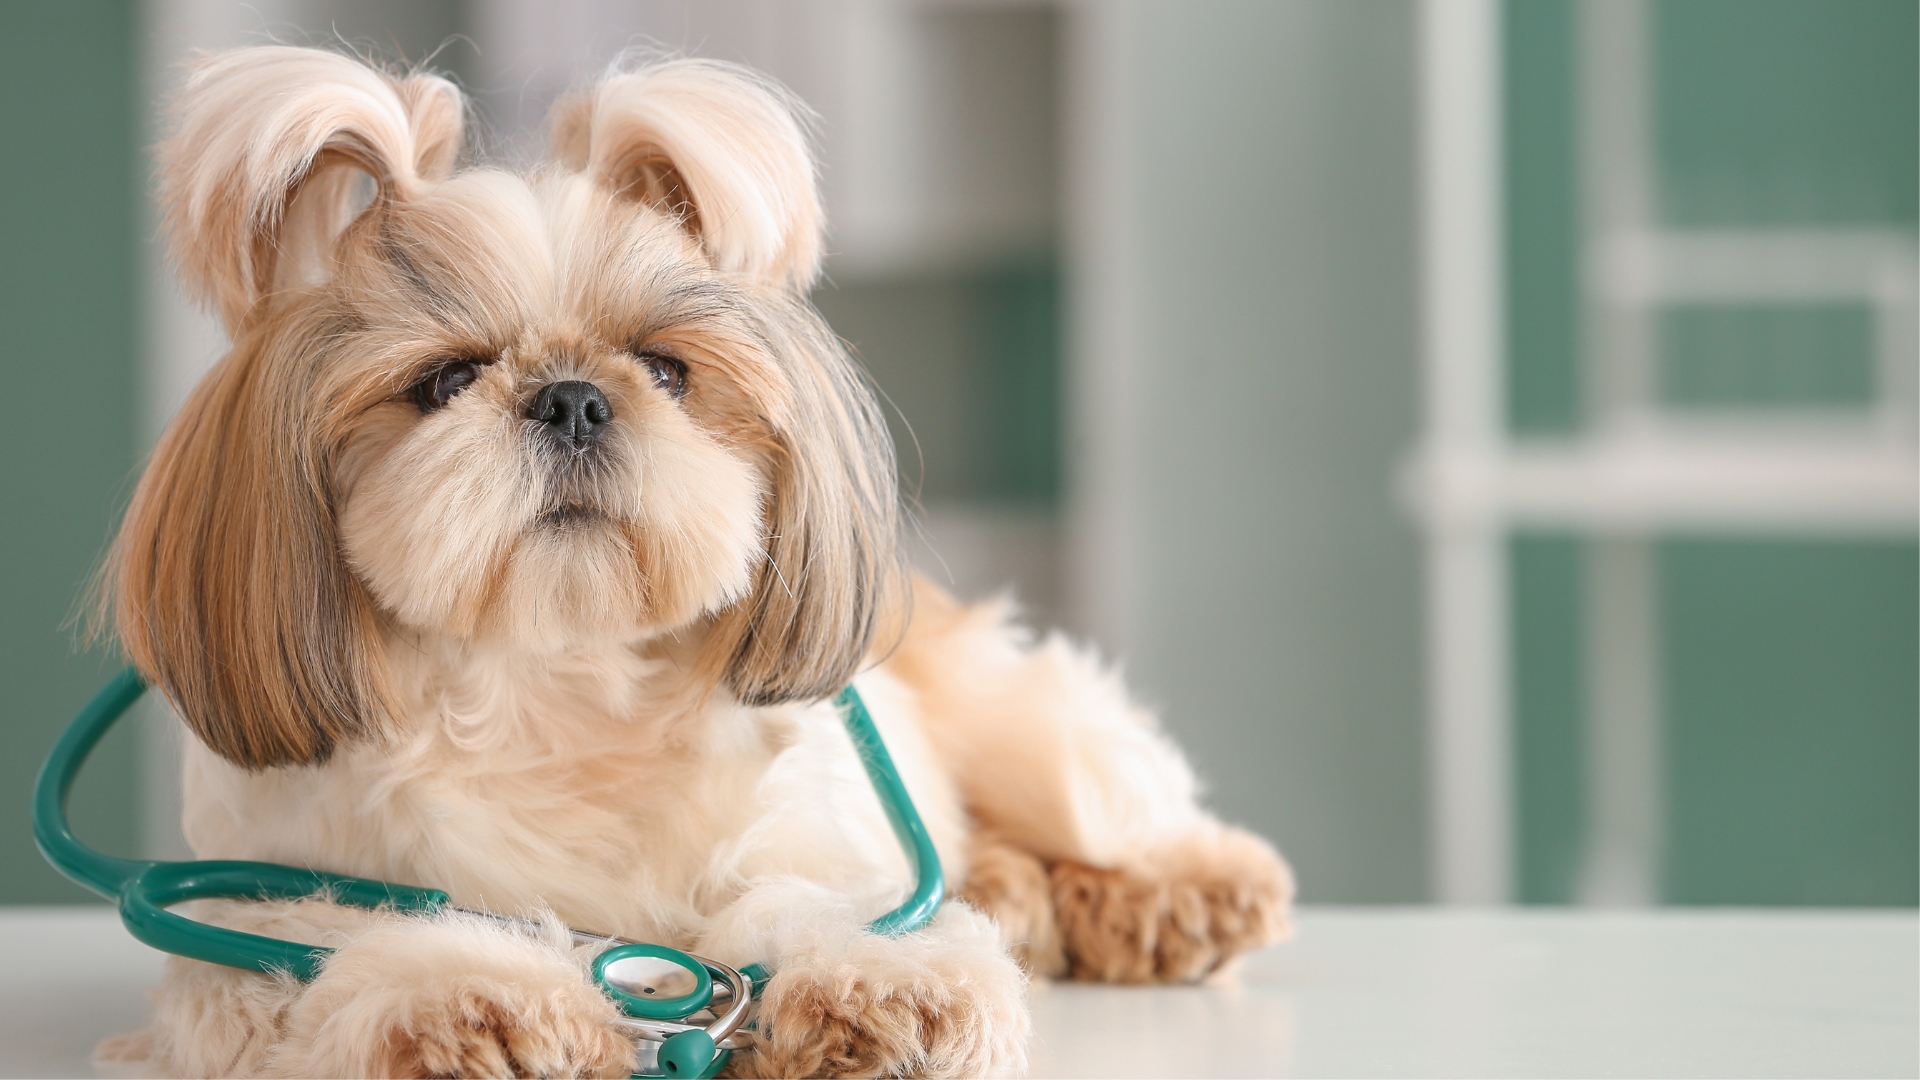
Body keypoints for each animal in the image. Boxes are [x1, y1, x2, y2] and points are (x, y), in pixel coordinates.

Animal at [108, 48, 1305, 1076]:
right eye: (445, 380)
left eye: (666, 370)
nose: (572, 397)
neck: (559, 689)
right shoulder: (252, 919)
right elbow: (326, 951)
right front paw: (472, 997)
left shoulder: (806, 841)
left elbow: (804, 904)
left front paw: (879, 987)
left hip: (1023, 725)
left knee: (1094, 794)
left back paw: (1170, 891)